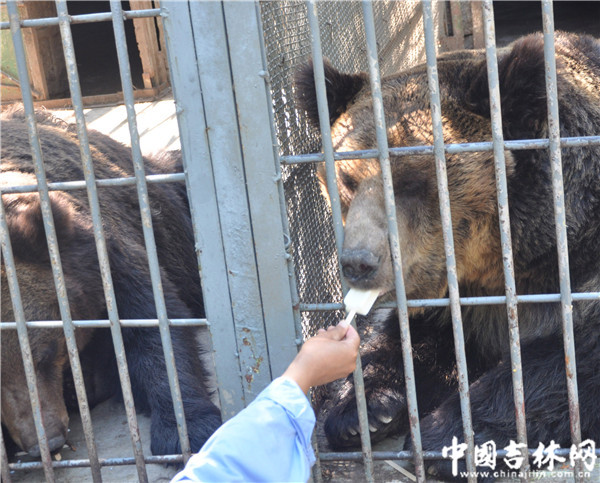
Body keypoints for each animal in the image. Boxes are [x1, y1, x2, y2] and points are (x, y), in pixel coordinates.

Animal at [296, 32, 600, 482]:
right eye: (347, 181)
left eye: (413, 180)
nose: (359, 263)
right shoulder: (453, 296)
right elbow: (414, 340)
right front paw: (363, 410)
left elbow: (569, 365)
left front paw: (449, 437)